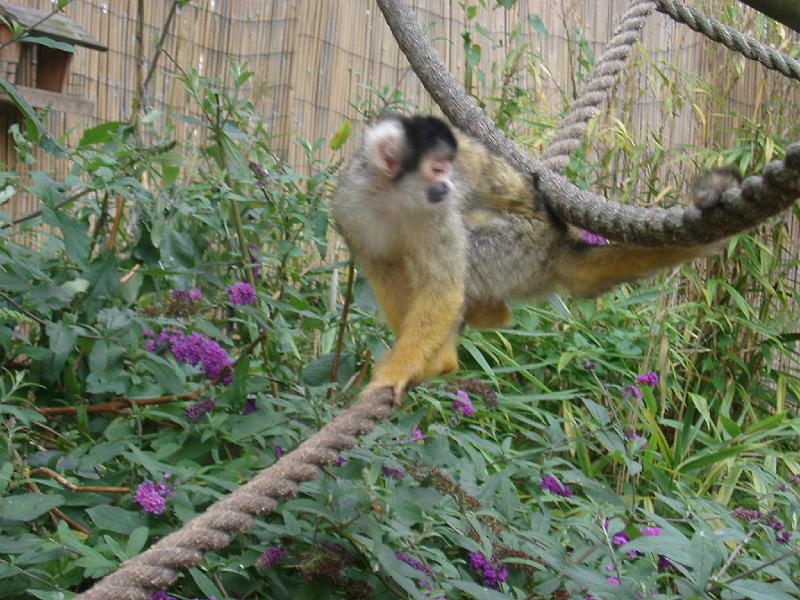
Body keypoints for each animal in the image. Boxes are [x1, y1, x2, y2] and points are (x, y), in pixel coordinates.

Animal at [331, 114, 740, 399]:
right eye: (436, 168)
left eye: (447, 169)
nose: (447, 185)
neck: (395, 194)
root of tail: (557, 247)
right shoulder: (351, 204)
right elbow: (384, 269)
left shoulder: (438, 212)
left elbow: (444, 285)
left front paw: (401, 370)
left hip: (522, 248)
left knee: (468, 240)